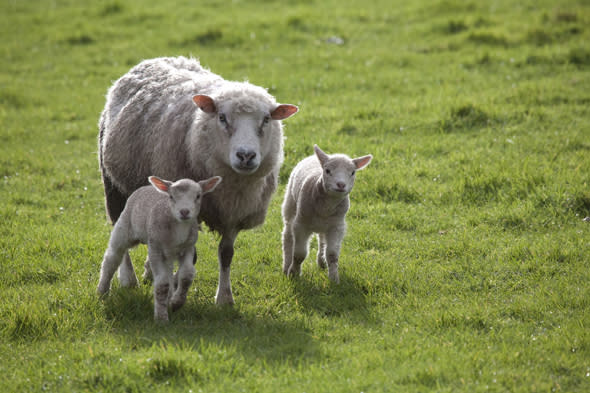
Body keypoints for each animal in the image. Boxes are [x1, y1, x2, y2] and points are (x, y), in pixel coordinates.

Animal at [97, 175, 222, 322]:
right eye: (171, 197)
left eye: (198, 196)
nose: (184, 212)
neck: (179, 227)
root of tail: (146, 187)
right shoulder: (155, 249)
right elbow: (162, 284)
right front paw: (161, 318)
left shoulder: (188, 248)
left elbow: (186, 276)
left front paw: (176, 303)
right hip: (124, 227)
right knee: (112, 258)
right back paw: (102, 291)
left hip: (168, 254)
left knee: (168, 272)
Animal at [99, 56, 300, 304]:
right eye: (222, 118)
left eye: (266, 119)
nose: (246, 155)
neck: (232, 186)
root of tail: (154, 59)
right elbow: (190, 256)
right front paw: (176, 292)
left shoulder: (235, 213)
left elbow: (226, 254)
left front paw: (224, 298)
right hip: (113, 183)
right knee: (119, 230)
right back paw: (128, 278)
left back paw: (149, 272)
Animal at [280, 144, 372, 282]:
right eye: (328, 171)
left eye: (352, 172)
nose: (341, 184)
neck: (326, 206)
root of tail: (314, 156)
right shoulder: (301, 224)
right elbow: (300, 254)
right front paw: (294, 273)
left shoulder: (336, 226)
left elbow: (332, 255)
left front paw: (334, 279)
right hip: (290, 205)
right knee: (287, 236)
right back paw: (286, 266)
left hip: (325, 224)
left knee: (322, 239)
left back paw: (322, 262)